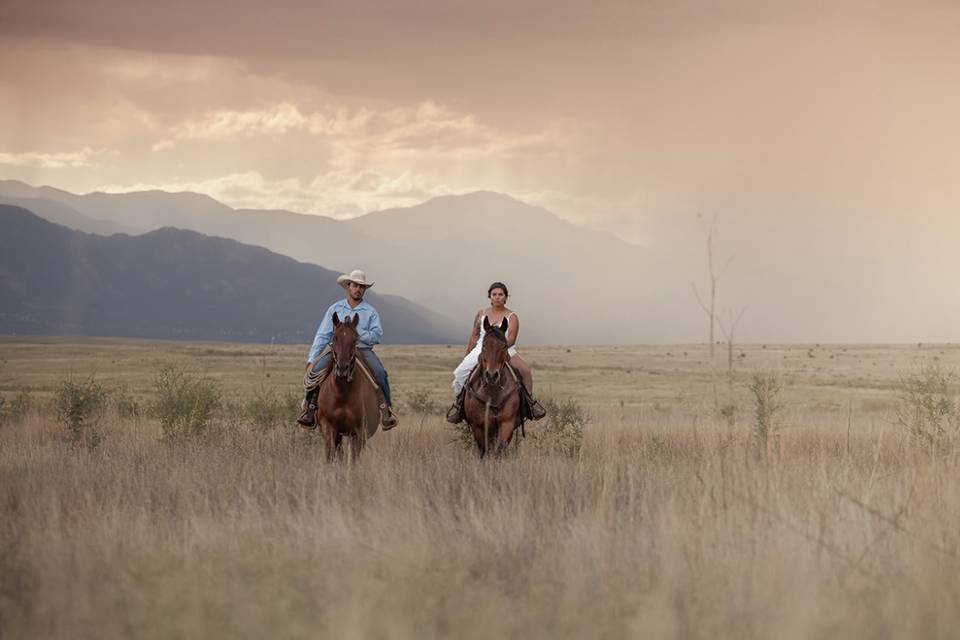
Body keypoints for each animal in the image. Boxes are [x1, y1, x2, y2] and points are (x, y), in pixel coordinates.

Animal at [312, 312, 378, 458]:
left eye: (355, 340)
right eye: (334, 338)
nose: (342, 368)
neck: (342, 393)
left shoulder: (358, 431)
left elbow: (353, 458)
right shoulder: (329, 427)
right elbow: (331, 455)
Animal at [464, 316, 520, 456]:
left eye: (504, 346)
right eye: (484, 345)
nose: (491, 375)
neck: (492, 392)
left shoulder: (507, 424)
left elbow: (499, 450)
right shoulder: (478, 426)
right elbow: (484, 451)